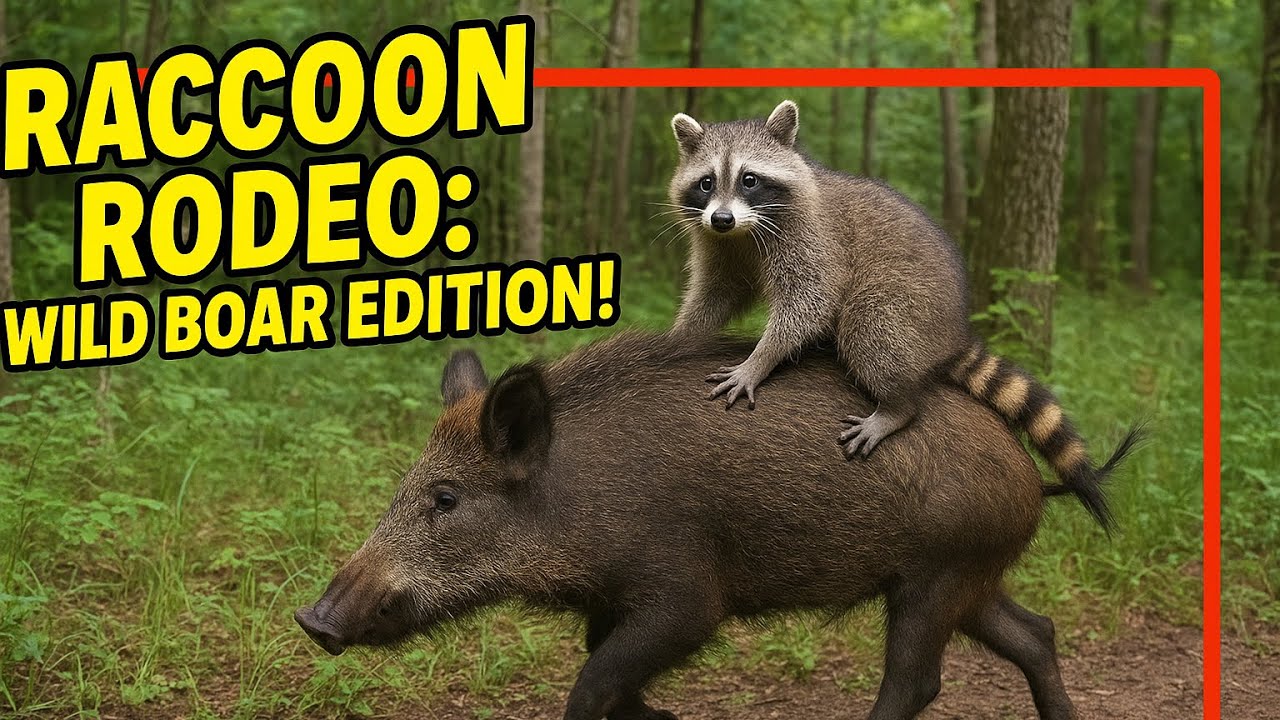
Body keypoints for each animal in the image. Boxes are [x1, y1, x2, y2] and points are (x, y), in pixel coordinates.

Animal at [295, 331, 1141, 720]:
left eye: (445, 498)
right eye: (406, 486)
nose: (313, 618)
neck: (574, 494)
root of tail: (1028, 474)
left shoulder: (687, 596)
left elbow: (593, 682)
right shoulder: (612, 601)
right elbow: (608, 671)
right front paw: (664, 715)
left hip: (934, 578)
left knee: (915, 678)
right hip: (969, 579)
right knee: (1036, 634)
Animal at [667, 100, 1121, 529]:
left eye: (749, 179)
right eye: (707, 182)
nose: (722, 218)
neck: (743, 231)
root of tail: (953, 331)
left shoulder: (813, 238)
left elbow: (810, 301)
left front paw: (759, 360)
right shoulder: (720, 244)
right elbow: (717, 295)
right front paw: (680, 338)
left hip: (908, 301)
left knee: (869, 326)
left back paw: (896, 407)